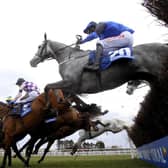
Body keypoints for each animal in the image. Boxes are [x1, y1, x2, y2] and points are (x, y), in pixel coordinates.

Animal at [29, 33, 168, 94]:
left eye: (39, 46)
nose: (32, 62)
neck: (70, 58)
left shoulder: (71, 83)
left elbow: (47, 87)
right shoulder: (71, 88)